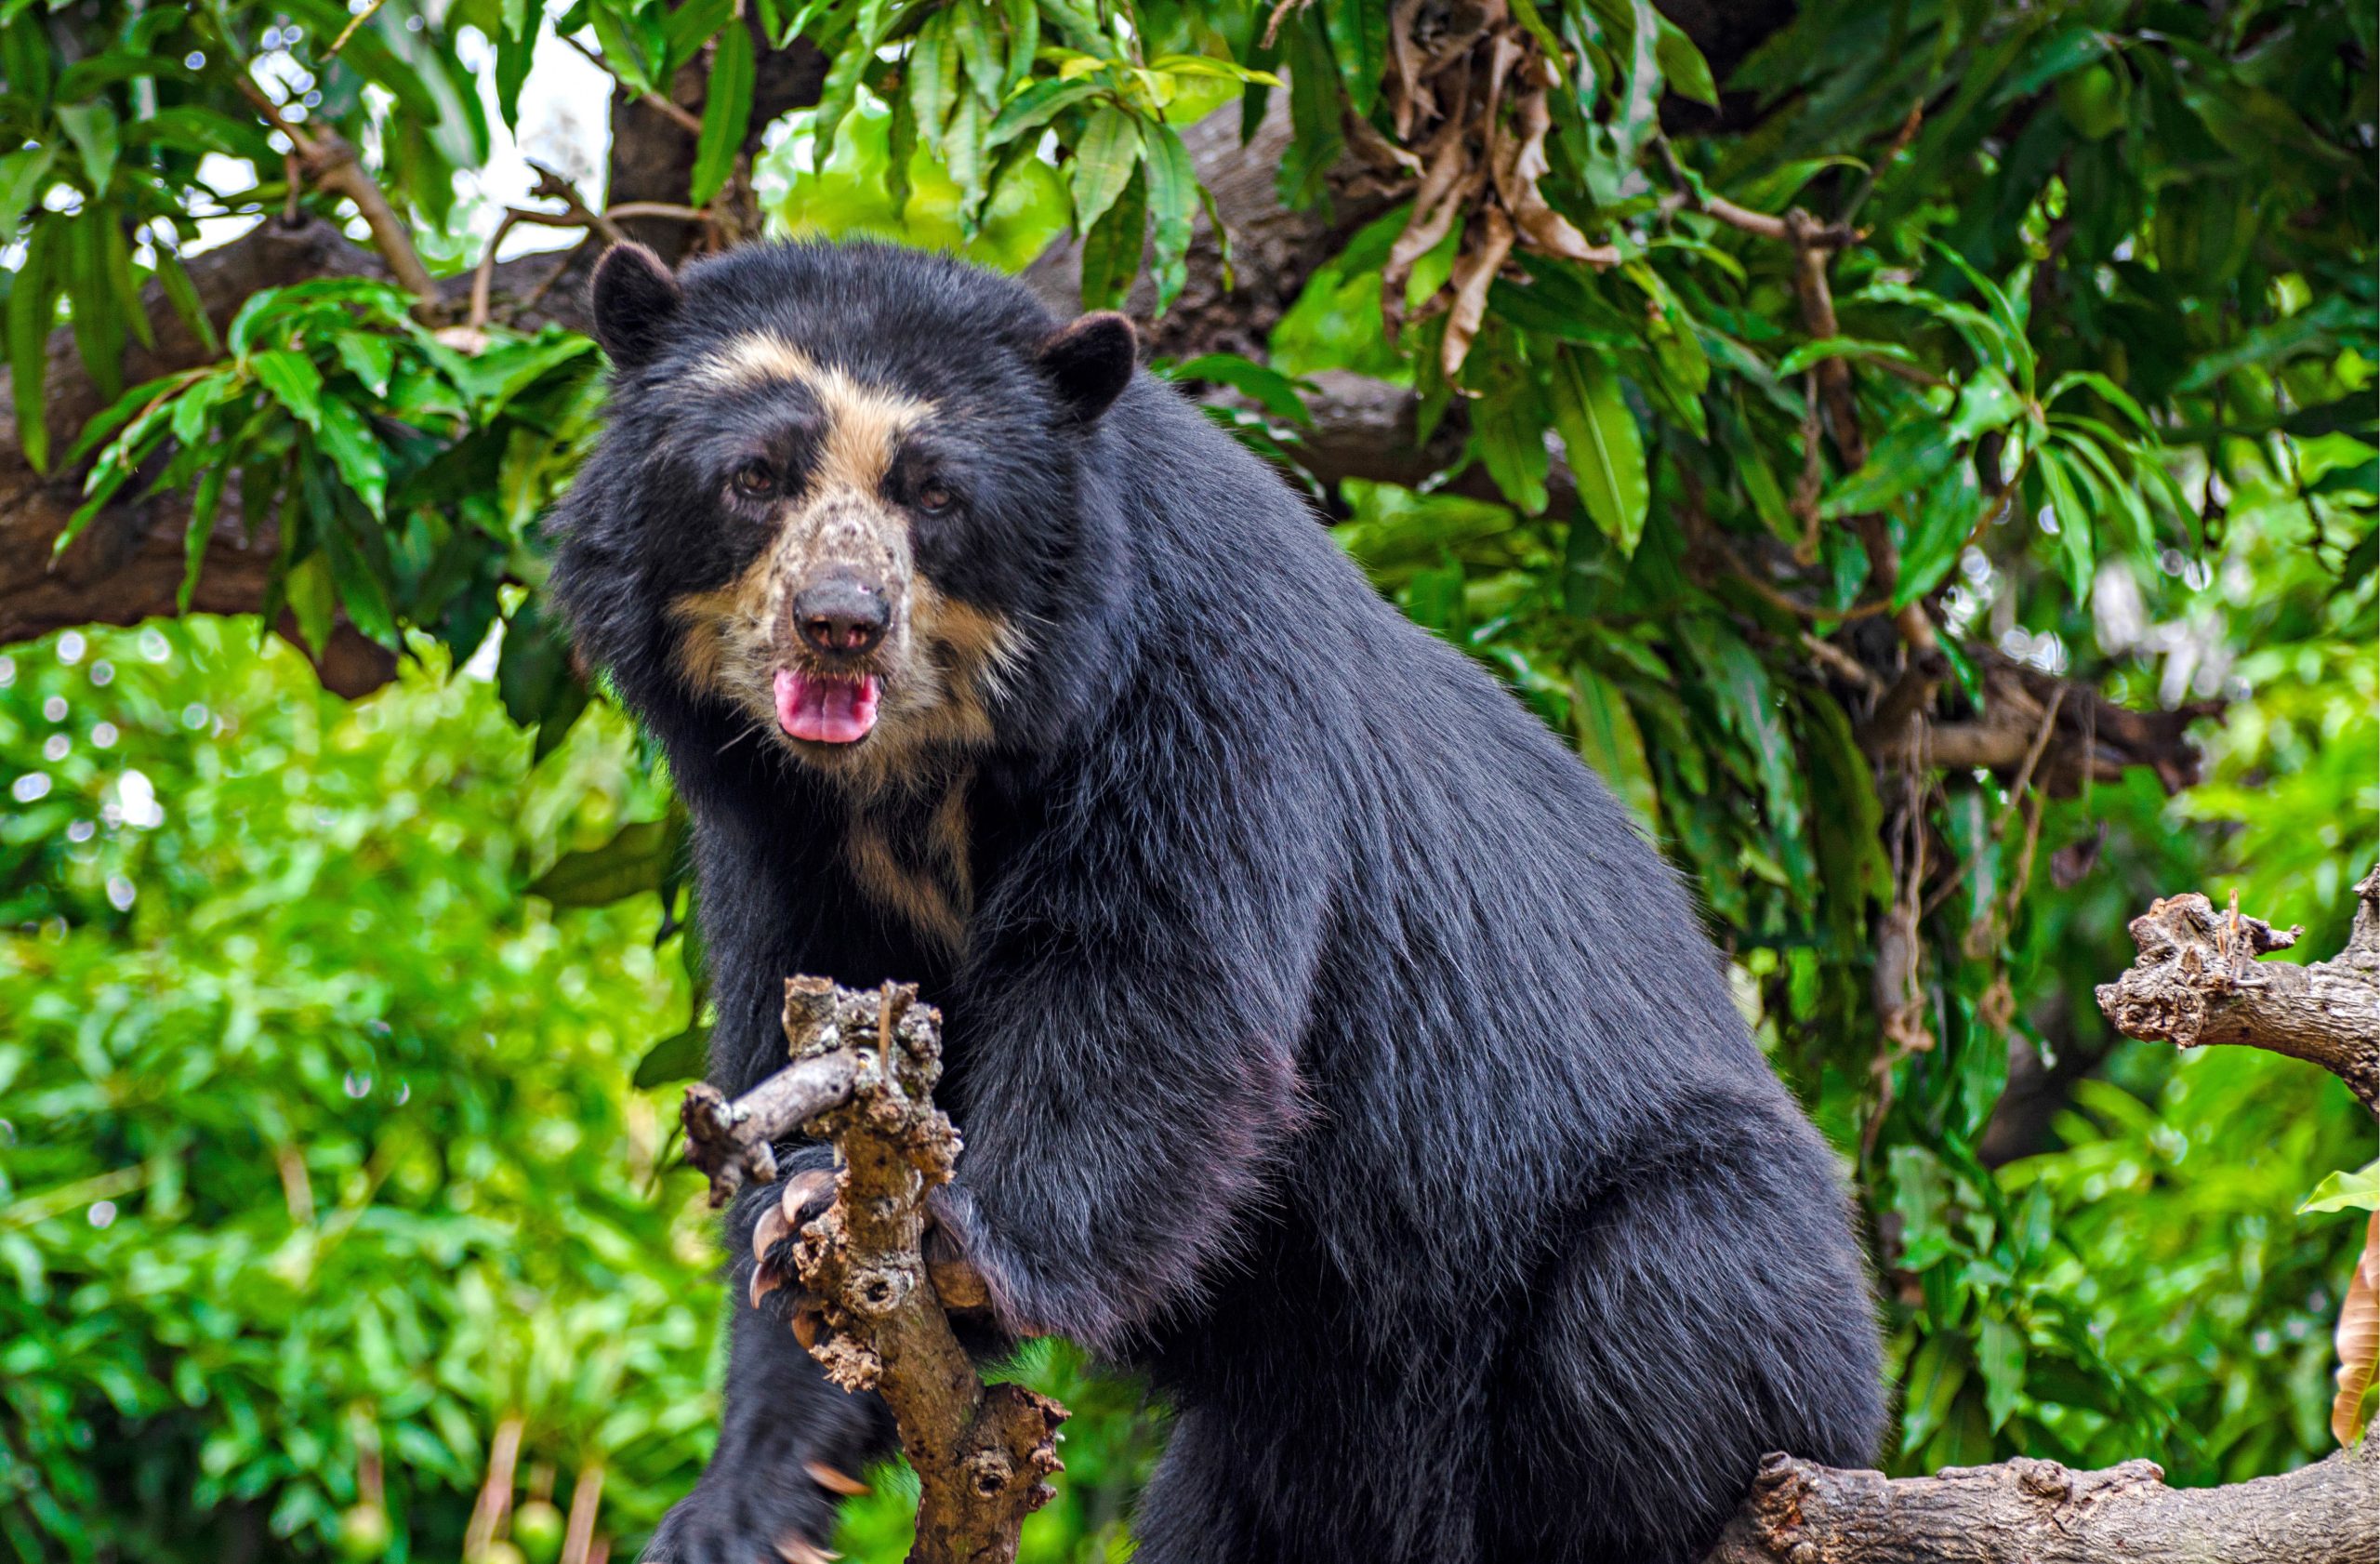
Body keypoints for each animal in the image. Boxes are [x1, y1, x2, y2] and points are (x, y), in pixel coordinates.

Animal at [547, 234, 1884, 1561]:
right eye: (756, 476)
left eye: (935, 495)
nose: (840, 624)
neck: (919, 775)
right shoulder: (779, 836)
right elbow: (809, 1045)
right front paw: (752, 1467)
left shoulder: (1193, 675)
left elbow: (1152, 988)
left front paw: (957, 1245)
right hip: (1281, 1445)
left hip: (1701, 1264)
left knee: (1648, 1309)